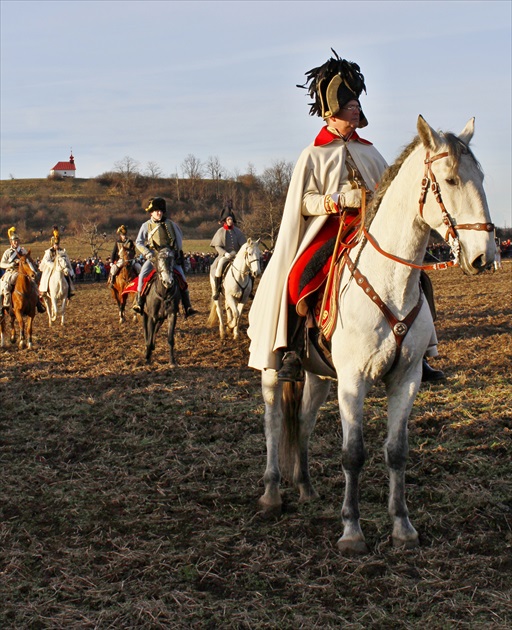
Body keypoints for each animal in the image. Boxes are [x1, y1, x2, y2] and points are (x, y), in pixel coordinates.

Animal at [260, 117, 496, 552]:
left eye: (482, 178)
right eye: (450, 180)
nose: (483, 256)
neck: (391, 283)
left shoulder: (406, 378)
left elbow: (397, 452)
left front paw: (402, 525)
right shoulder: (353, 380)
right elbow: (353, 453)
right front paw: (352, 531)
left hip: (319, 376)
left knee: (302, 422)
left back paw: (305, 487)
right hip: (272, 370)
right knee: (273, 421)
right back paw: (270, 495)